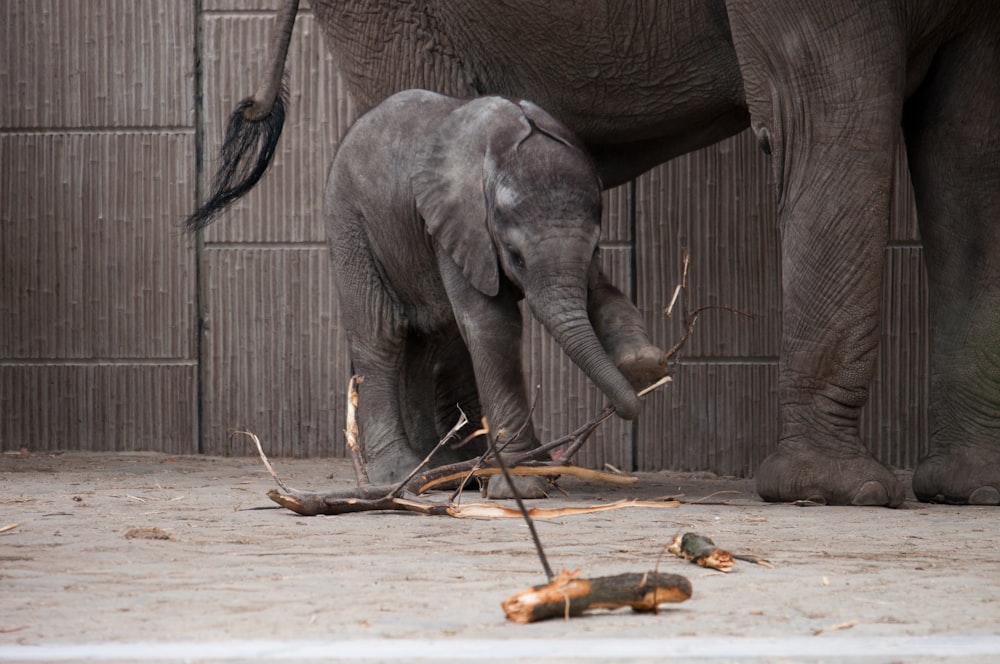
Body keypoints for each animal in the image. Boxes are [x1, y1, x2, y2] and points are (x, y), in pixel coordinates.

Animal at [324, 87, 660, 492]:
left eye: (597, 247)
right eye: (515, 256)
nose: (628, 405)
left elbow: (604, 294)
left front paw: (643, 365)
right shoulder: (460, 224)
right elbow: (492, 325)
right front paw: (524, 482)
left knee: (431, 337)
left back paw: (442, 471)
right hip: (350, 224)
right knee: (382, 333)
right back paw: (402, 474)